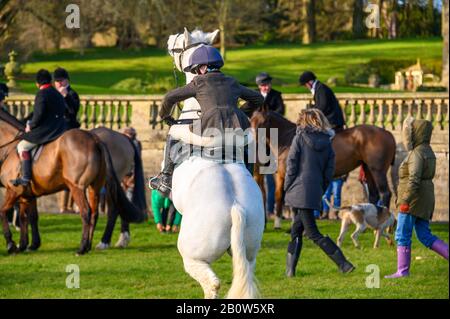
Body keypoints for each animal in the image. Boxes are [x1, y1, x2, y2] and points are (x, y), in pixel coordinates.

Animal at [167, 28, 266, 300]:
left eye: (179, 45)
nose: (168, 41)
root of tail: (236, 208)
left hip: (194, 254)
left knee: (211, 283)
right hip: (248, 250)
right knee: (246, 272)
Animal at [251, 109, 396, 228]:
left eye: (263, 122)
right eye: (251, 120)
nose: (253, 141)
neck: (287, 140)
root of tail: (387, 132)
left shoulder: (288, 176)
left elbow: (288, 201)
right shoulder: (282, 176)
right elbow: (279, 197)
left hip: (378, 170)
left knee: (385, 193)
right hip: (368, 169)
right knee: (373, 195)